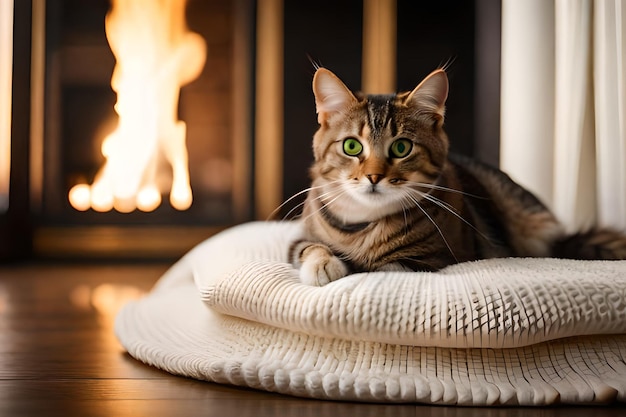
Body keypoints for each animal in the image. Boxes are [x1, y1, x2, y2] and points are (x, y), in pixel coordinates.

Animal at [286, 66, 624, 286]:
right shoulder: (300, 239)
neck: (363, 226)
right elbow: (310, 247)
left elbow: (381, 267)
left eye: (401, 147)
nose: (373, 177)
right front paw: (325, 263)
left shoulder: (432, 259)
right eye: (352, 146)